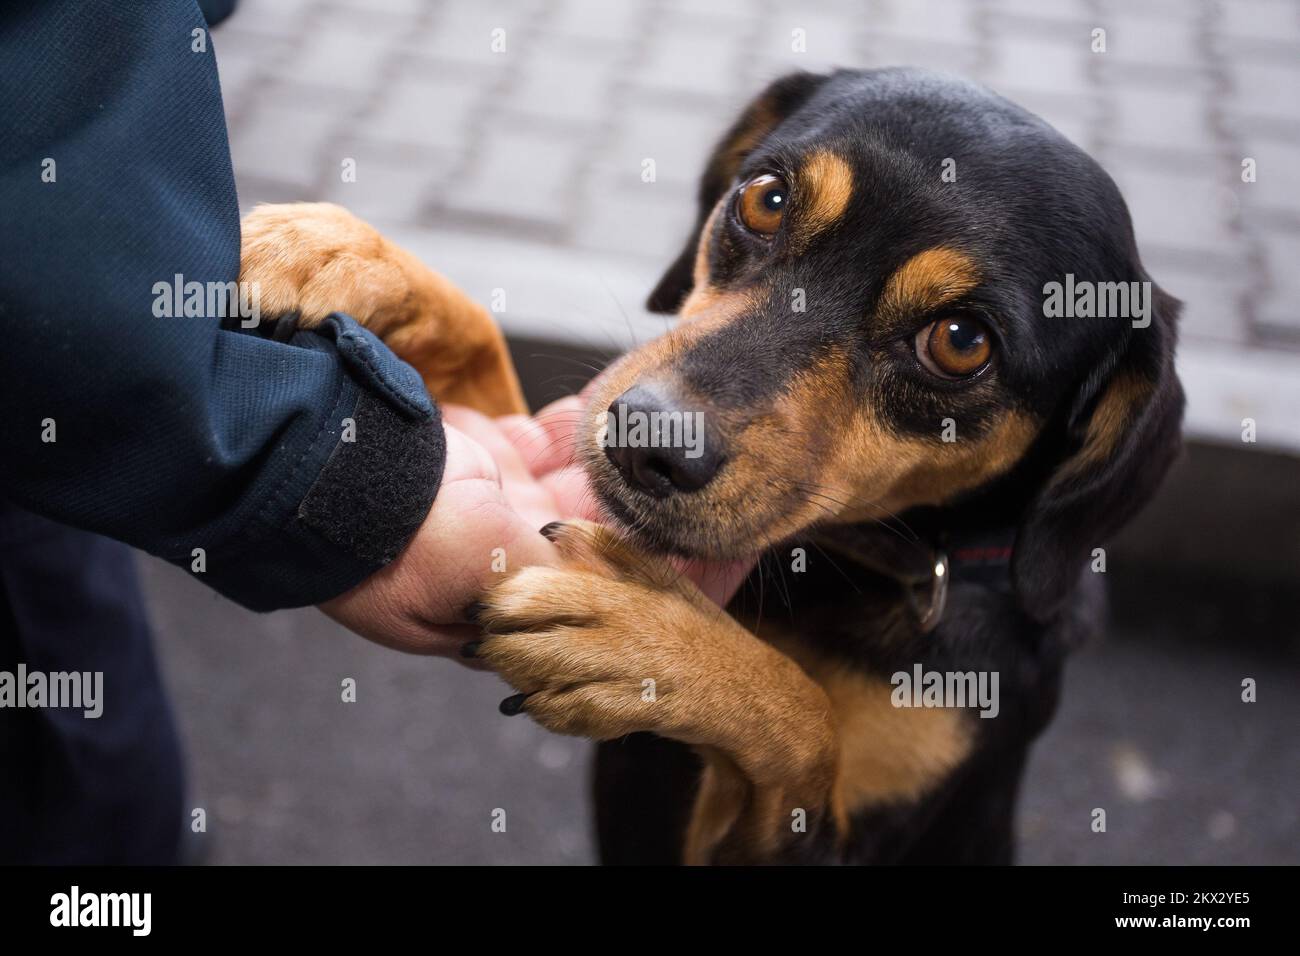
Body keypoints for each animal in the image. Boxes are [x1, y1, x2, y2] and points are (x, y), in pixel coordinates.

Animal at [239, 69, 1185, 868]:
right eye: (765, 199)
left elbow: (803, 718)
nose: (646, 439)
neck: (838, 572)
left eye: (961, 342)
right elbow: (474, 329)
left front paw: (647, 643)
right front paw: (330, 250)